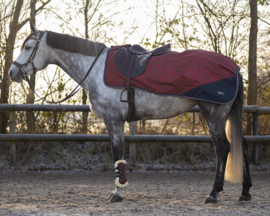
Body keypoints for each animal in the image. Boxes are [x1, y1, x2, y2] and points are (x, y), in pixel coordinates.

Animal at [9, 23, 252, 202]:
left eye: (28, 47)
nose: (12, 72)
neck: (95, 68)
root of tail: (235, 68)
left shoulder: (113, 120)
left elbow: (117, 155)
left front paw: (117, 193)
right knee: (241, 145)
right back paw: (245, 192)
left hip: (214, 115)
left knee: (223, 148)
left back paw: (213, 194)